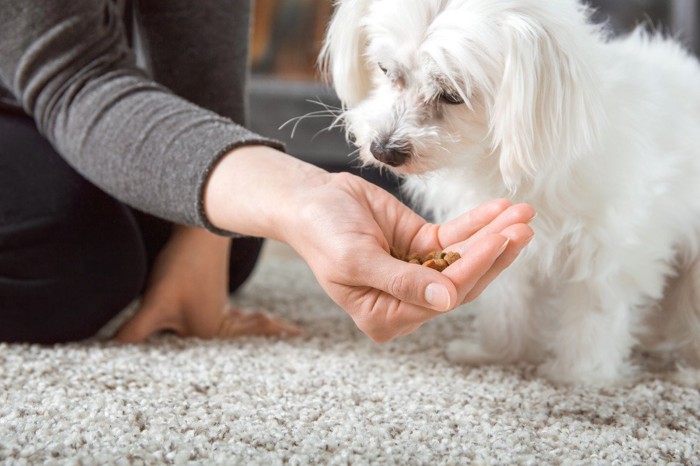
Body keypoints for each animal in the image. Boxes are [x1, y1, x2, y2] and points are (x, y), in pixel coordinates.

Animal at [320, 0, 700, 386]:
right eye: (385, 69)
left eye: (453, 95)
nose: (383, 150)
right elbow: (506, 300)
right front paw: (498, 353)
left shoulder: (610, 246)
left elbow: (594, 309)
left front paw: (581, 375)